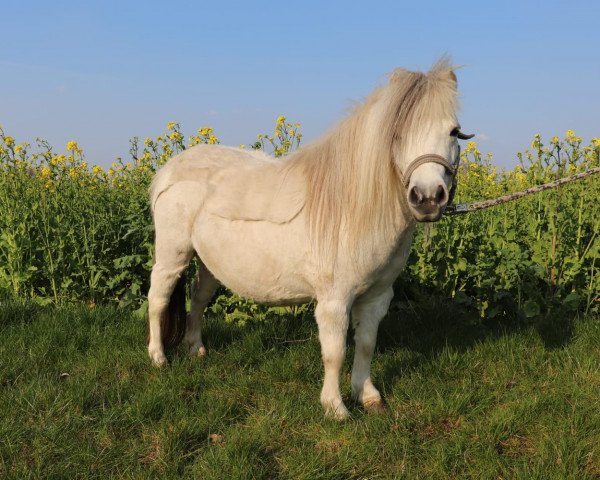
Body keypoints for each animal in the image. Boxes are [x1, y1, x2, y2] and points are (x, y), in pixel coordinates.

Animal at [146, 59, 474, 420]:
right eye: (397, 134)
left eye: (453, 132)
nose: (428, 198)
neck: (352, 207)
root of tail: (171, 169)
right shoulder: (334, 300)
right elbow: (335, 352)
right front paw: (335, 407)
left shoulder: (377, 296)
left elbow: (366, 344)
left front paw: (367, 395)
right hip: (173, 256)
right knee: (158, 298)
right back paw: (158, 358)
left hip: (209, 263)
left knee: (199, 298)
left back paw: (196, 348)